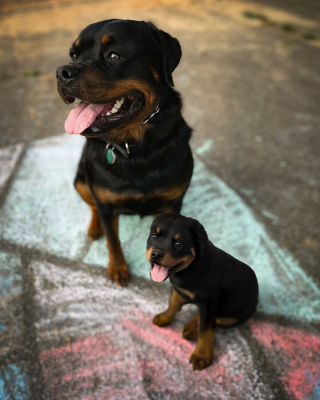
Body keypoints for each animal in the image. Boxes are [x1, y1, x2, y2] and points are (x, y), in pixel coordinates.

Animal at [55, 20, 192, 286]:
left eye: (114, 56)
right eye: (73, 55)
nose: (61, 72)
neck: (136, 147)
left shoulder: (173, 202)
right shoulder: (107, 206)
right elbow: (113, 240)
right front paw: (118, 268)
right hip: (80, 181)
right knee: (93, 206)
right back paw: (94, 227)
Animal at [145, 214, 258, 370]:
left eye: (179, 244)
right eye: (154, 236)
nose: (156, 254)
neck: (190, 267)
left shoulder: (209, 301)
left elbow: (205, 330)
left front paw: (202, 355)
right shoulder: (179, 290)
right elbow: (173, 303)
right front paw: (165, 317)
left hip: (232, 317)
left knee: (215, 320)